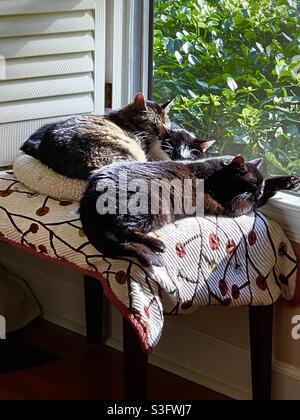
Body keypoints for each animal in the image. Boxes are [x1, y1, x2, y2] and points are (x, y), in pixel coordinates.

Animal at [80, 156, 300, 268]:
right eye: (253, 183)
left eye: (259, 184)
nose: (259, 190)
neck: (218, 174)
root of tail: (90, 191)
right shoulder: (235, 206)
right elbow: (255, 202)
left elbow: (268, 187)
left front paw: (289, 181)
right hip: (152, 208)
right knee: (122, 230)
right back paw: (156, 246)